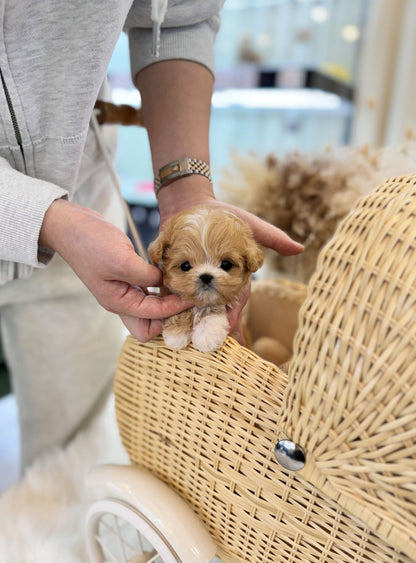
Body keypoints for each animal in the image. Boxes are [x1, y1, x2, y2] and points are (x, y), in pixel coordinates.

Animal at [148, 207, 262, 352]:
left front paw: (207, 337)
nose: (206, 276)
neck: (201, 303)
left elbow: (214, 311)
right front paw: (176, 335)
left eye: (226, 264)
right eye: (185, 266)